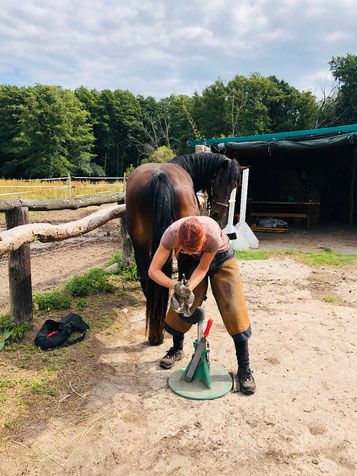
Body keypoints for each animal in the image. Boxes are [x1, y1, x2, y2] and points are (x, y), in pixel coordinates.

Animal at [125, 153, 239, 346]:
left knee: (146, 276)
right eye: (223, 181)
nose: (218, 215)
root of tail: (160, 176)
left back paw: (155, 333)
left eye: (234, 186)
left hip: (139, 243)